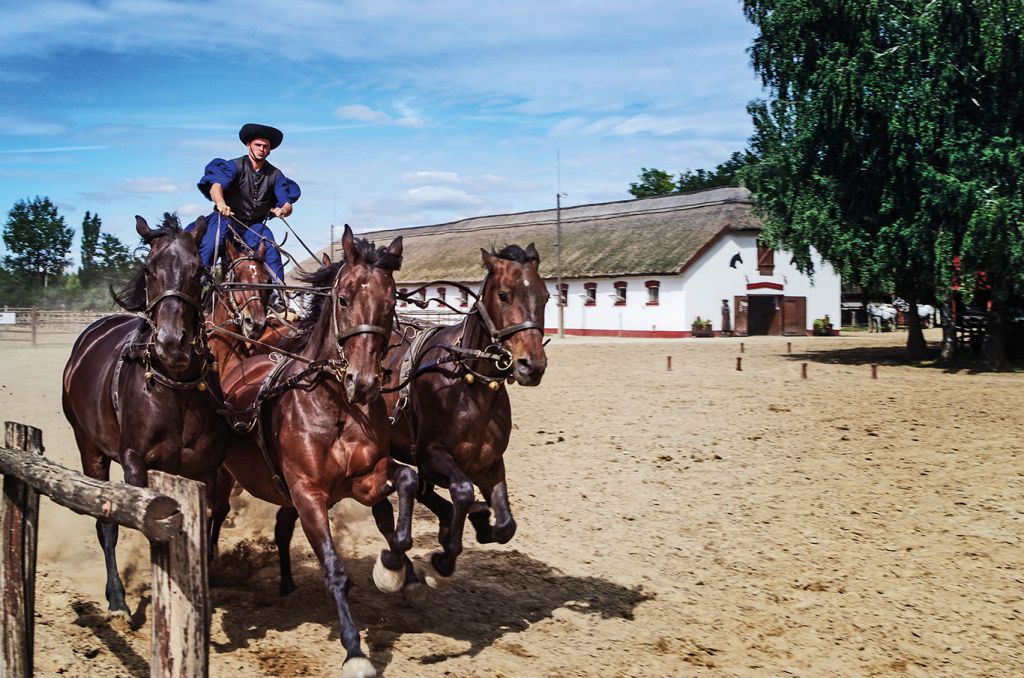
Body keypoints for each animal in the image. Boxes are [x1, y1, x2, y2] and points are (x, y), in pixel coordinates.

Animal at [61, 214, 224, 614]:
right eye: (149, 269)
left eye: (198, 270)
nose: (171, 343)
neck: (173, 386)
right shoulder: (136, 463)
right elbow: (150, 530)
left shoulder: (206, 469)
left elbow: (204, 524)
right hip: (89, 447)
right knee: (106, 524)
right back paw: (117, 597)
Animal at [215, 228, 411, 678]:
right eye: (344, 299)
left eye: (391, 302)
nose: (364, 382)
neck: (333, 404)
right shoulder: (309, 493)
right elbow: (334, 571)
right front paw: (355, 651)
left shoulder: (366, 478)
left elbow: (407, 479)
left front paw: (392, 569)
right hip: (222, 477)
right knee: (214, 515)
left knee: (280, 527)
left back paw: (287, 581)